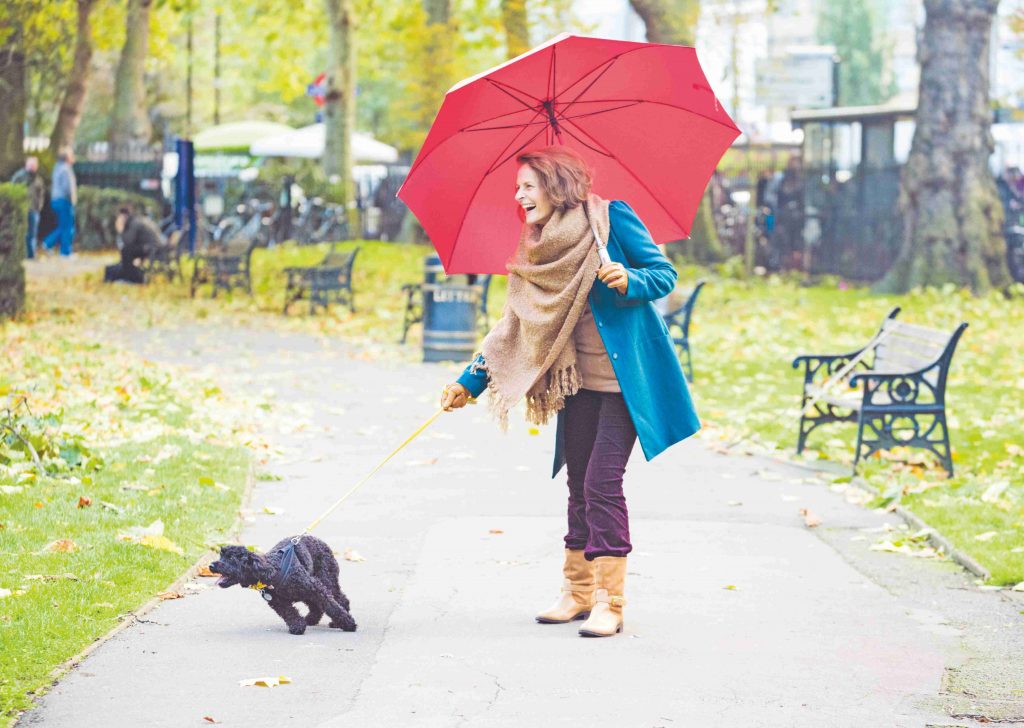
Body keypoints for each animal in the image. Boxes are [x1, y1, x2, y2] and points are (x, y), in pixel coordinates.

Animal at [209, 536, 358, 634]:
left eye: (231, 559)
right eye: (221, 556)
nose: (211, 566)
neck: (272, 570)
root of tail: (320, 541)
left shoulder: (315, 588)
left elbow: (332, 607)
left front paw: (349, 624)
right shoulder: (278, 601)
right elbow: (289, 613)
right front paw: (297, 626)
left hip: (326, 579)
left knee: (340, 598)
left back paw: (336, 621)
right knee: (316, 606)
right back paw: (310, 619)